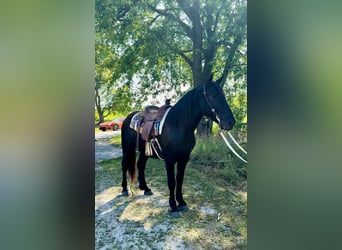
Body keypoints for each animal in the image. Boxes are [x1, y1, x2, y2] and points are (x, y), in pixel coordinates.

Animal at [120, 77, 235, 217]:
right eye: (212, 95)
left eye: (223, 95)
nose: (230, 122)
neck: (178, 125)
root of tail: (129, 117)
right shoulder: (169, 160)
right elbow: (172, 182)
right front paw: (173, 206)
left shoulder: (184, 158)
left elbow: (179, 179)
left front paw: (182, 202)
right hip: (127, 148)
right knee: (124, 165)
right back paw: (124, 189)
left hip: (144, 151)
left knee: (140, 165)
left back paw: (145, 188)